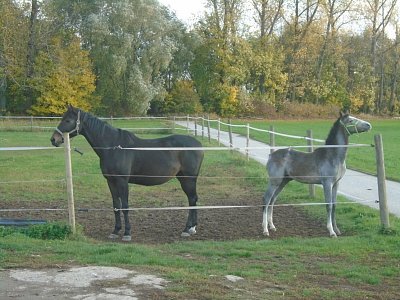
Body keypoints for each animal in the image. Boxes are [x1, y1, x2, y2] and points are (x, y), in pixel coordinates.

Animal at [50, 105, 205, 241]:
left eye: (67, 120)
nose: (54, 139)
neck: (113, 147)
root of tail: (198, 145)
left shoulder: (122, 182)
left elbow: (125, 206)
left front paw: (127, 233)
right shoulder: (111, 182)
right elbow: (116, 206)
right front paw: (115, 231)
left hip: (188, 179)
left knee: (192, 199)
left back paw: (187, 229)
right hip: (183, 178)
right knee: (192, 200)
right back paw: (192, 228)